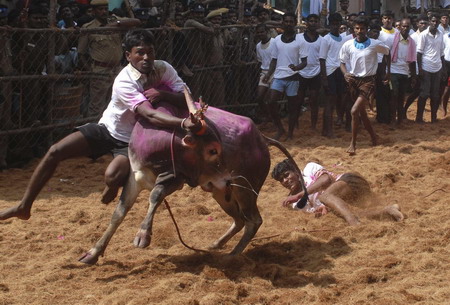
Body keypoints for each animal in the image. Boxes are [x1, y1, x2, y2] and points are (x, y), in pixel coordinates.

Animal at [79, 88, 308, 264]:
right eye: (212, 150)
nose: (228, 178)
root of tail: (262, 138)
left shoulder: (177, 179)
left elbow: (155, 195)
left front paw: (143, 235)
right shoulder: (136, 177)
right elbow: (119, 214)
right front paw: (93, 253)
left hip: (245, 190)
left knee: (253, 221)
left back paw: (231, 256)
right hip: (221, 193)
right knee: (239, 220)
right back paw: (217, 244)